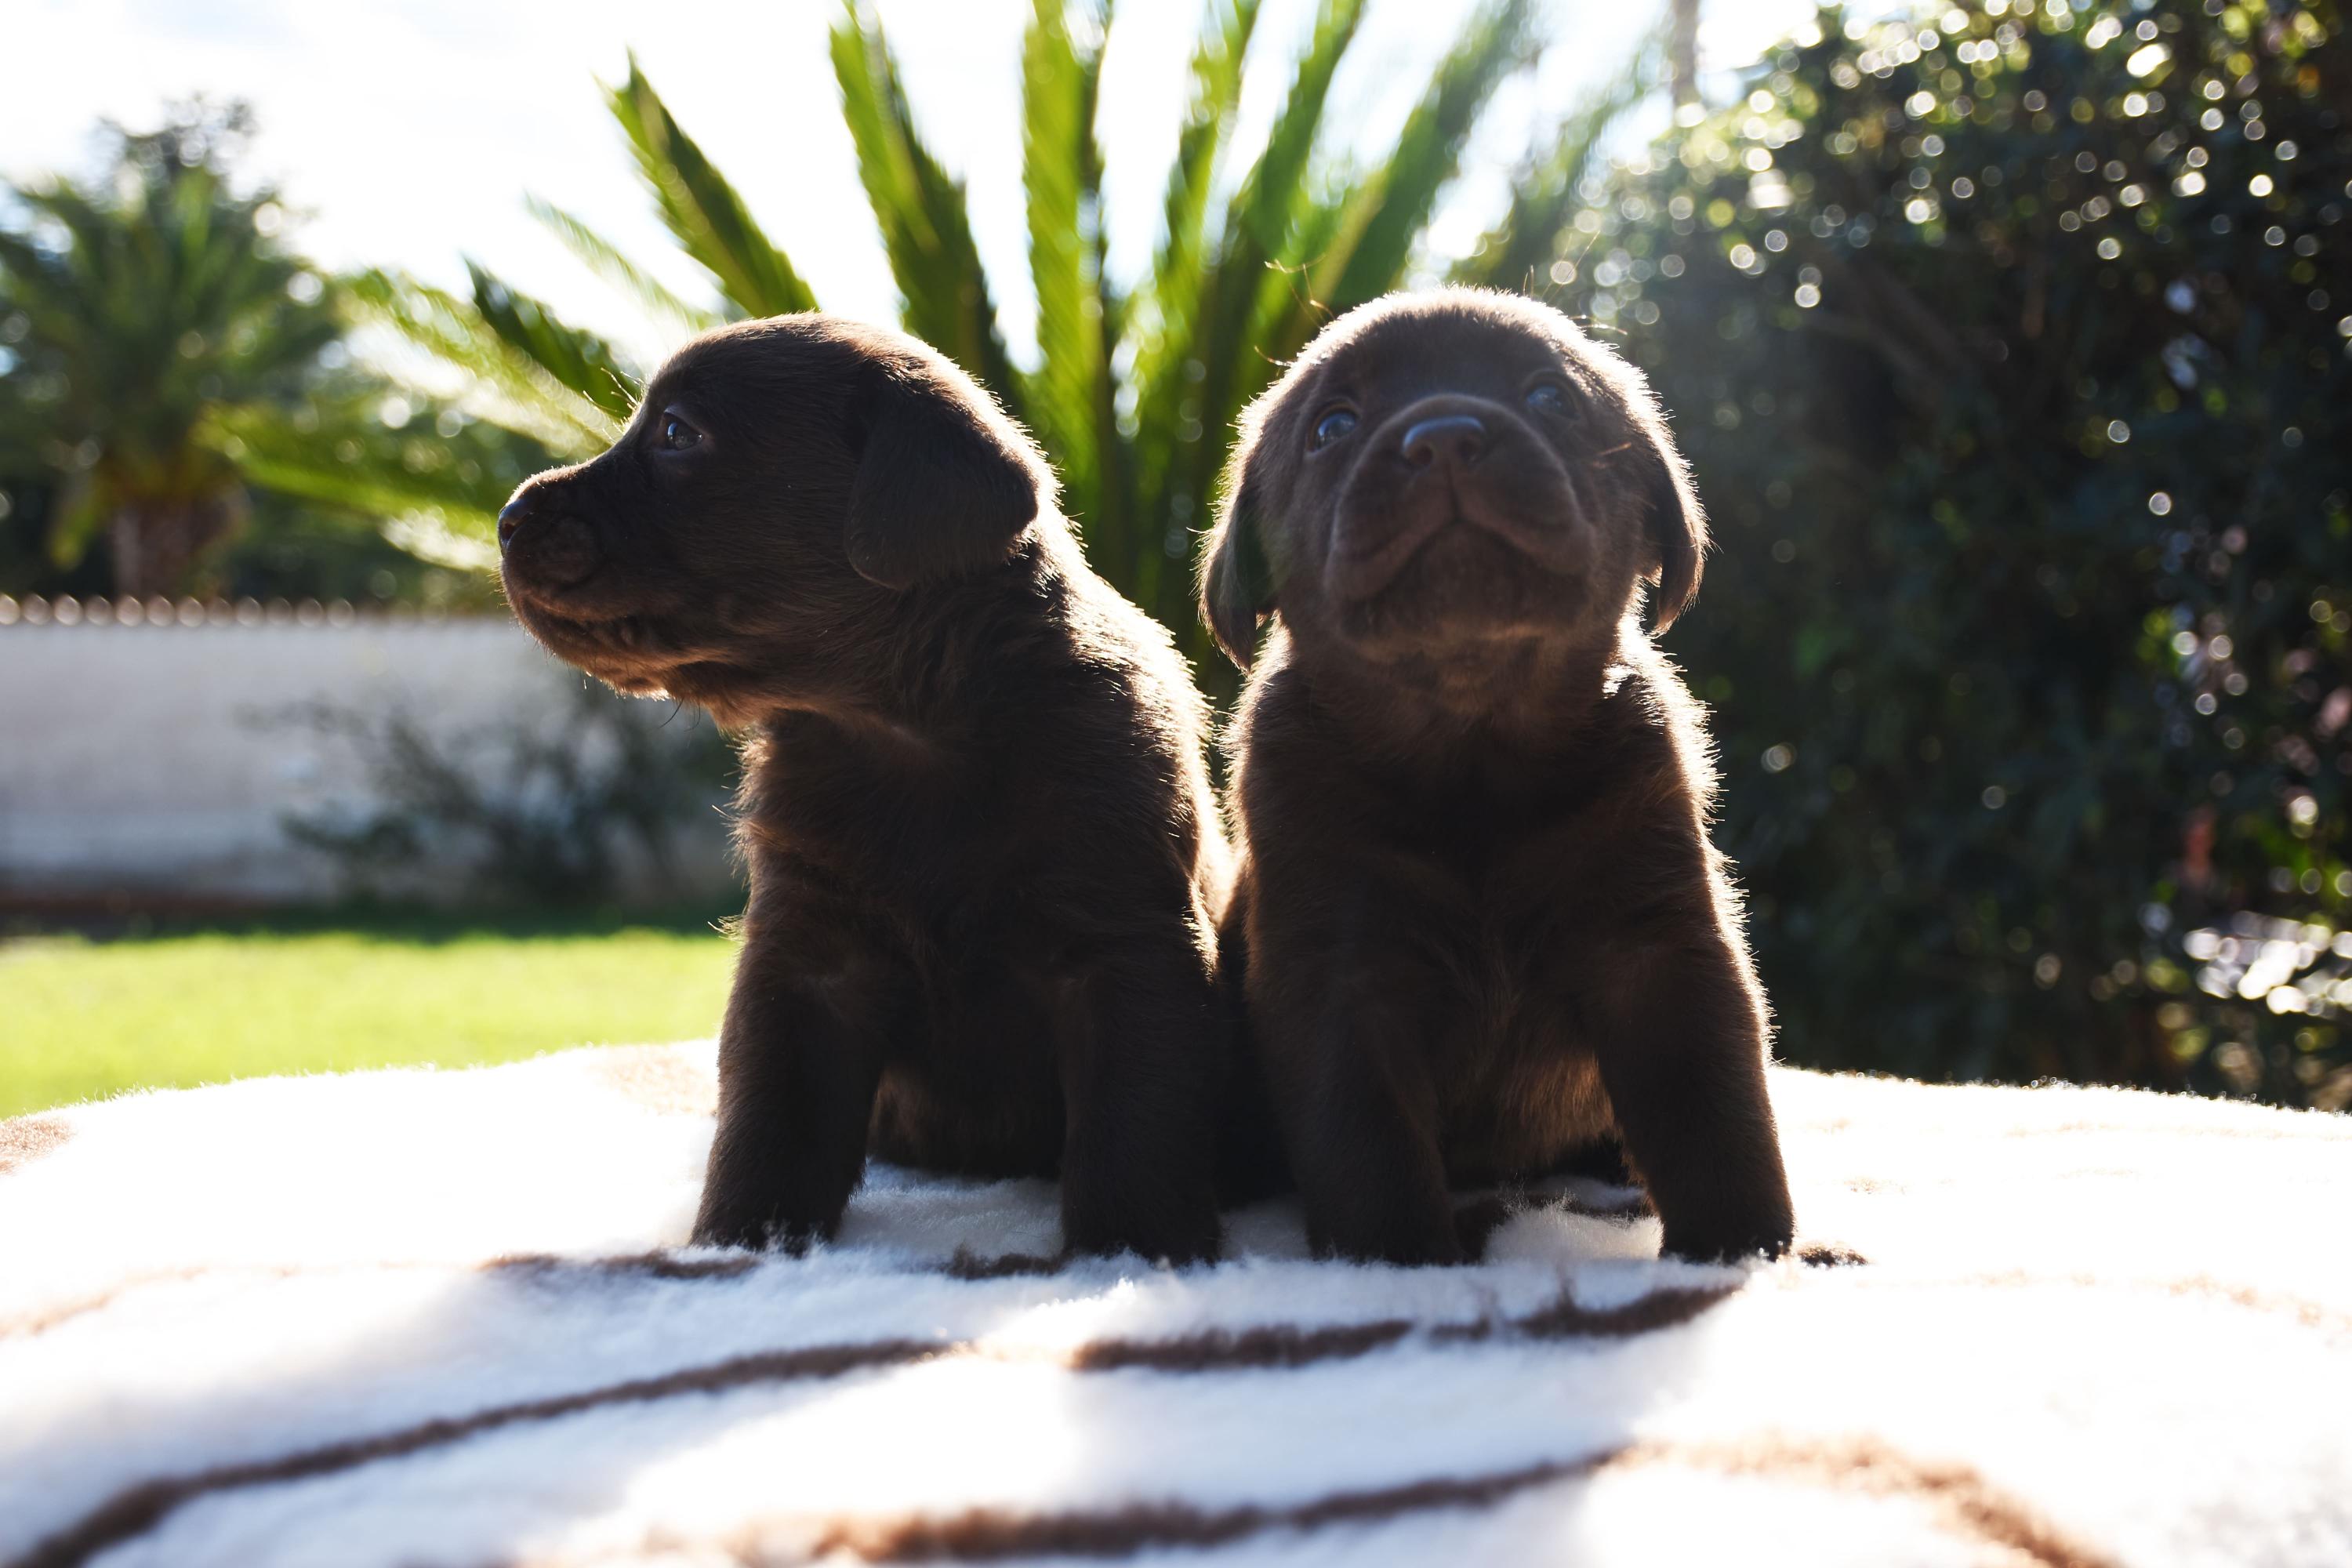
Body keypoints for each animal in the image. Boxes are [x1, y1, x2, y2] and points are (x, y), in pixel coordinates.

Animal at [499, 314, 1232, 1260]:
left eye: (676, 434)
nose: (508, 517)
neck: (906, 726)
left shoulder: (1125, 945)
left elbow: (1133, 1123)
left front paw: (1134, 1247)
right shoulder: (806, 961)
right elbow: (771, 1121)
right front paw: (742, 1245)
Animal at [1204, 288, 1788, 1269]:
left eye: (1550, 397)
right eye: (1332, 426)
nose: (1443, 437)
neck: (1470, 744)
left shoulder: (1660, 954)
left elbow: (1715, 1117)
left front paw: (1744, 1251)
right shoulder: (1342, 984)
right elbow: (1368, 1152)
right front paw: (1399, 1265)